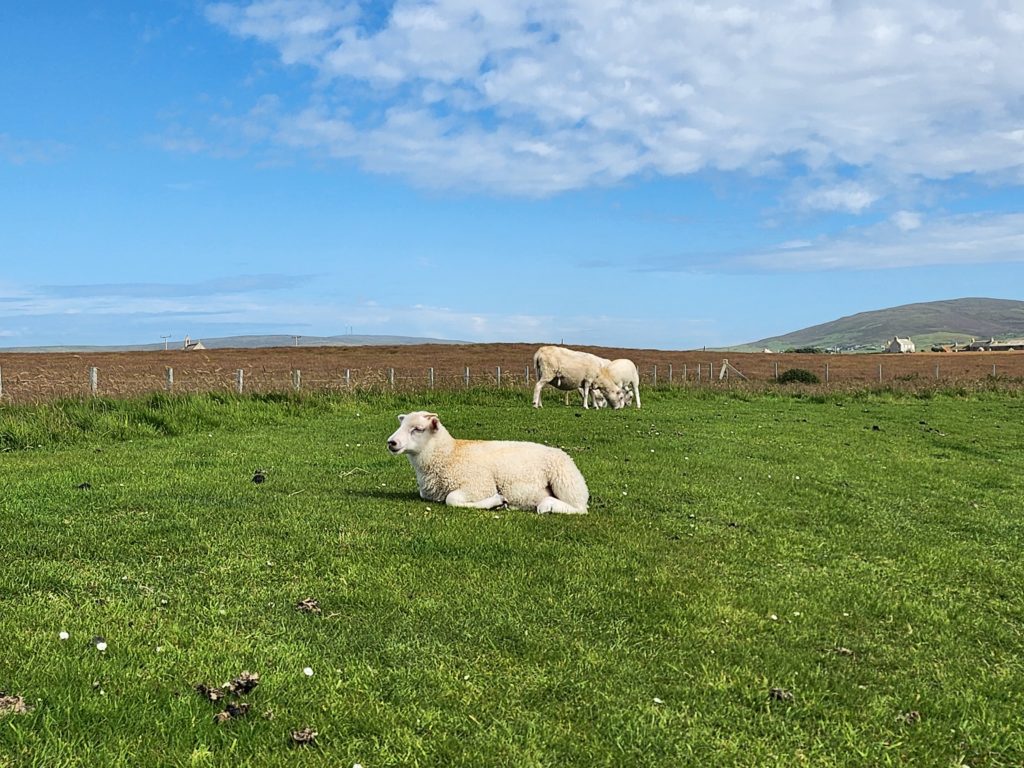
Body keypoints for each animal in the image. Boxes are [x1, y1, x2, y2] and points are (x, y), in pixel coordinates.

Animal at [385, 409, 593, 518]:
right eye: (401, 425)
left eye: (418, 429)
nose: (391, 442)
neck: (449, 454)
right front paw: (499, 504)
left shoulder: (479, 486)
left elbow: (452, 499)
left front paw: (496, 502)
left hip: (566, 482)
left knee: (579, 508)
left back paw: (546, 505)